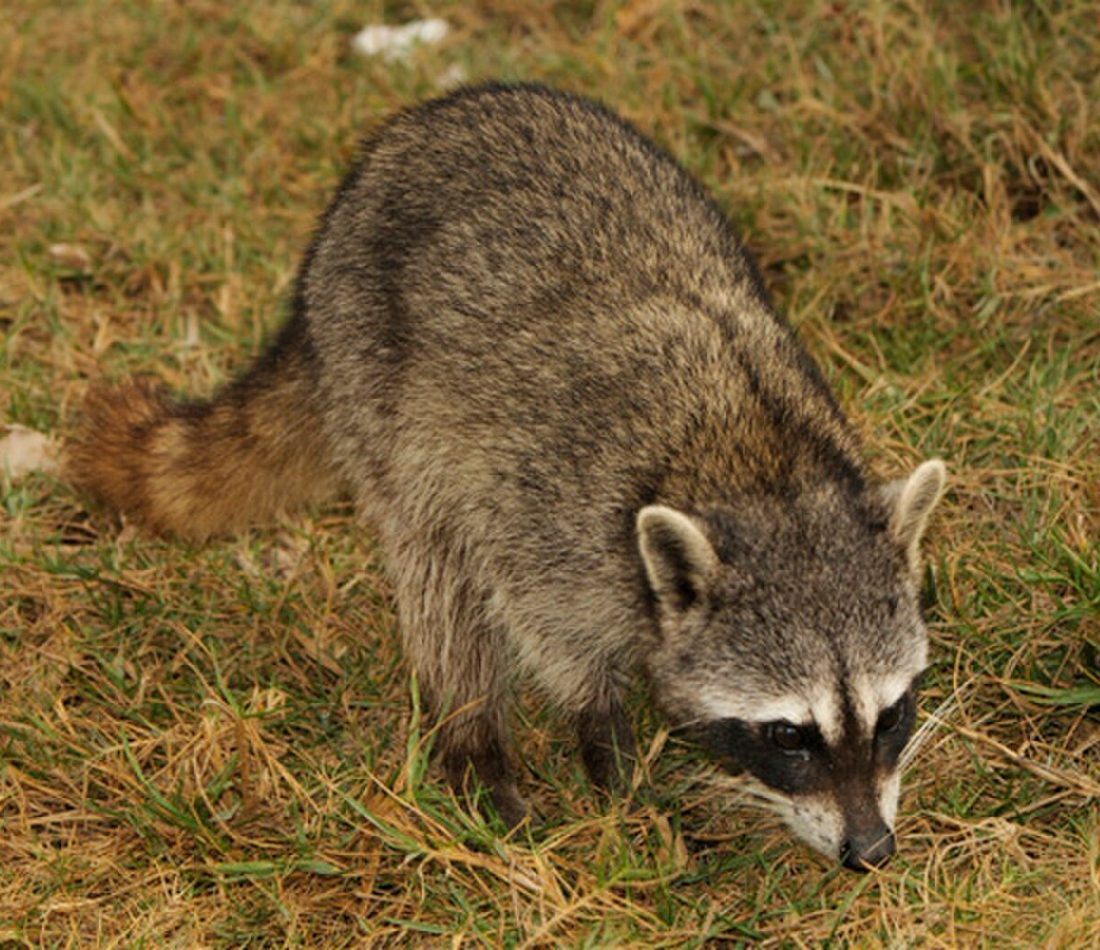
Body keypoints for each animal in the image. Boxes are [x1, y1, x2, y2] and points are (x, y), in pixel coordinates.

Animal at [68, 83, 946, 871]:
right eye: (789, 734)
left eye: (890, 715)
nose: (872, 851)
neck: (763, 472)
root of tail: (423, 124)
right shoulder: (549, 514)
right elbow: (554, 641)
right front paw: (610, 761)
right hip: (379, 381)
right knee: (438, 575)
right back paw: (474, 739)